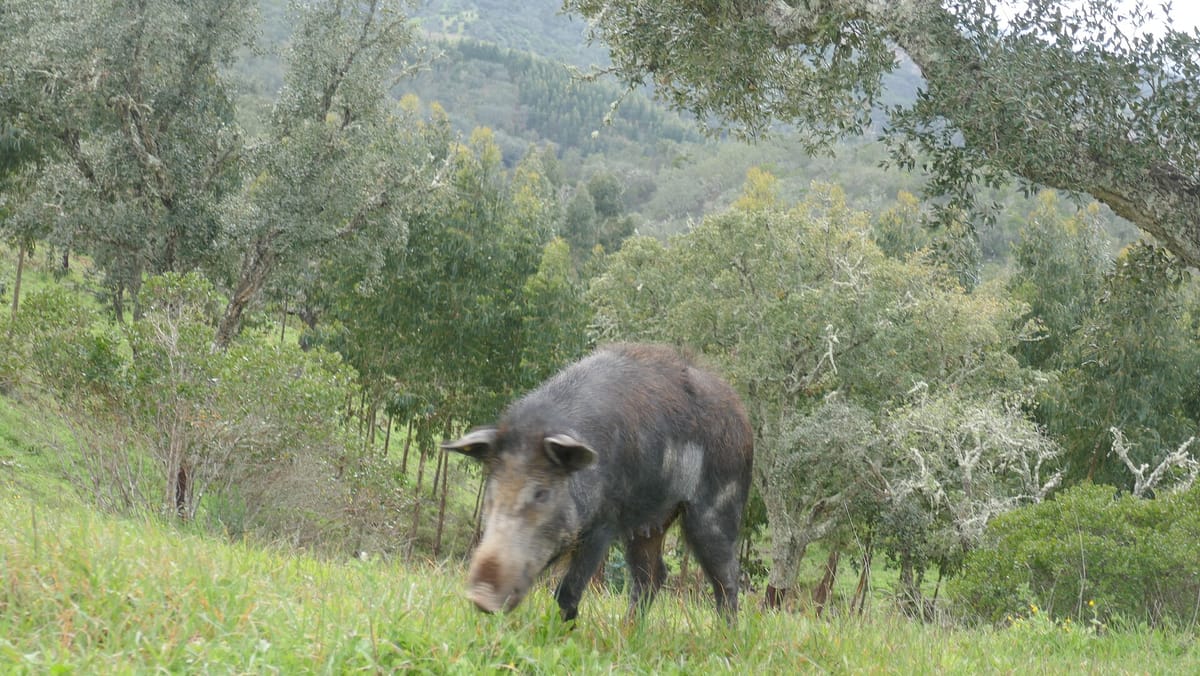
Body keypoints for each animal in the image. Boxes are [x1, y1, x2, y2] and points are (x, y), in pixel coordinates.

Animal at [442, 343, 753, 622]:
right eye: (491, 489)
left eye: (541, 493)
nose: (481, 595)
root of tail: (742, 415)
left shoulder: (606, 519)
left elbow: (568, 589)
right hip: (648, 522)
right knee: (652, 574)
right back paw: (628, 631)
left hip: (717, 508)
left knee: (727, 578)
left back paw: (725, 637)